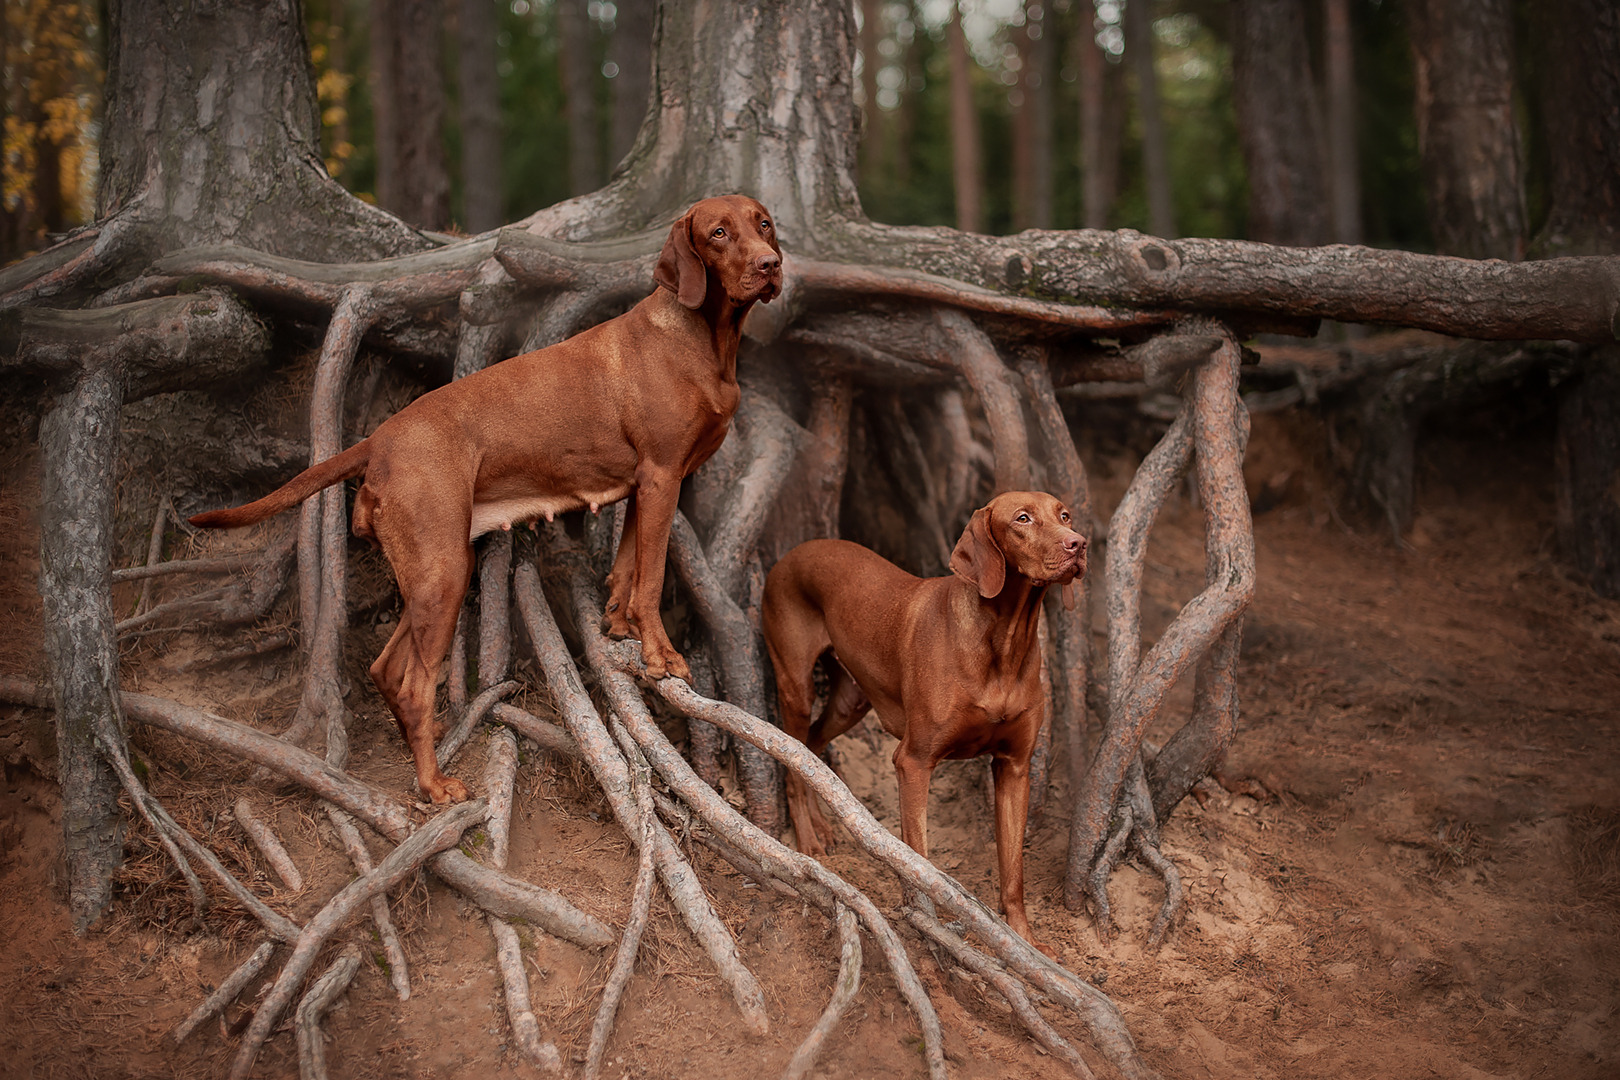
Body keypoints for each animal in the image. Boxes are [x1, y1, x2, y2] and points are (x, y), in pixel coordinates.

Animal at [189, 194, 784, 803]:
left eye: (763, 225)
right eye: (717, 233)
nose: (771, 265)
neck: (702, 337)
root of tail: (378, 440)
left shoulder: (646, 483)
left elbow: (627, 566)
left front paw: (619, 626)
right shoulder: (664, 475)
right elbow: (653, 576)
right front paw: (660, 655)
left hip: (431, 574)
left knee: (385, 669)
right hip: (446, 569)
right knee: (415, 684)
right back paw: (435, 785)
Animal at [761, 492, 1088, 952]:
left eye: (1065, 515)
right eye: (1022, 518)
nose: (1079, 544)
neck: (1004, 643)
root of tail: (791, 553)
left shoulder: (1015, 767)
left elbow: (1013, 872)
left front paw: (1024, 942)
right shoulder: (913, 762)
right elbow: (919, 859)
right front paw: (929, 932)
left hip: (849, 702)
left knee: (810, 747)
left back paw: (821, 826)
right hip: (796, 686)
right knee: (791, 758)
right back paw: (807, 839)